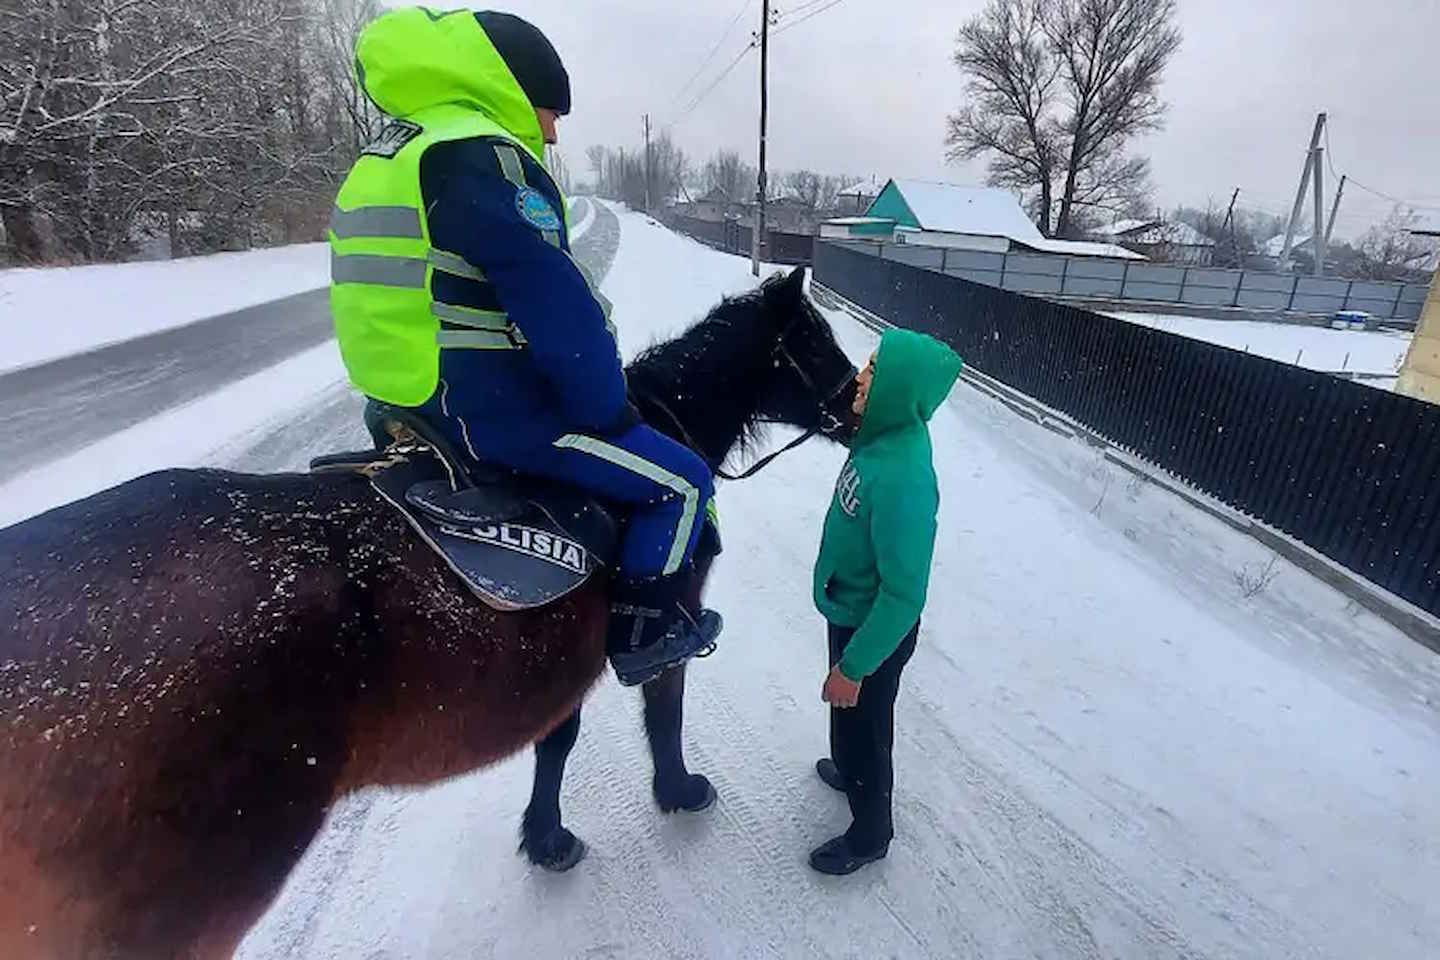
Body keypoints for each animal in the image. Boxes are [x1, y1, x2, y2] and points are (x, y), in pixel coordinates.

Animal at [0, 269, 852, 960]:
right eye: (813, 339)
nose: (860, 401)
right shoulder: (668, 618)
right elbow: (662, 708)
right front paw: (678, 791)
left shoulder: (556, 664)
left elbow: (557, 741)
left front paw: (545, 838)